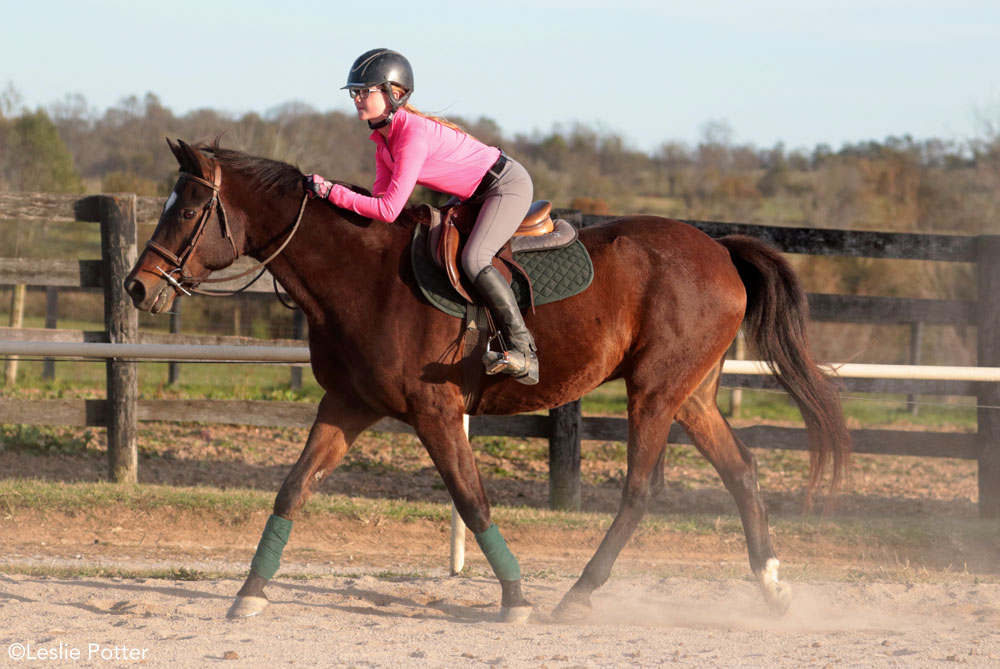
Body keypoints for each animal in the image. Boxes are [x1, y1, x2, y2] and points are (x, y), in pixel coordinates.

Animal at [121, 140, 848, 620]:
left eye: (187, 211)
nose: (137, 287)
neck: (358, 275)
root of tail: (720, 248)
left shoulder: (435, 411)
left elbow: (472, 501)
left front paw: (516, 598)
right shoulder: (348, 403)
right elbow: (293, 488)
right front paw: (249, 593)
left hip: (655, 392)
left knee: (642, 490)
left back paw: (577, 594)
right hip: (690, 395)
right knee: (742, 469)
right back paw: (773, 588)